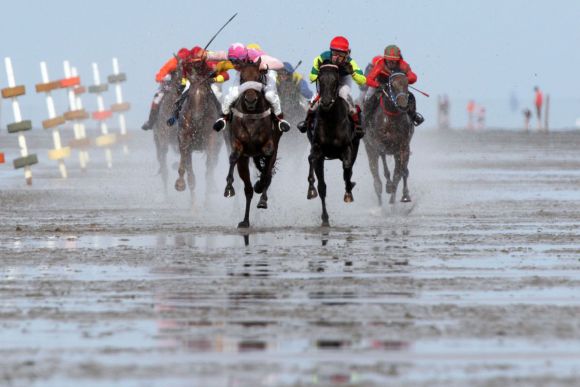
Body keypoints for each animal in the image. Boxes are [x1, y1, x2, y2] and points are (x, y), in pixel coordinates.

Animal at [173, 59, 221, 205]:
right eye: (189, 95)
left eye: (206, 94)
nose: (196, 118)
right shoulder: (184, 137)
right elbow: (189, 173)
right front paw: (180, 184)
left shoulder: (211, 138)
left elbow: (209, 169)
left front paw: (207, 203)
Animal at [223, 57, 282, 227]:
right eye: (242, 78)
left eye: (258, 78)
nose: (250, 100)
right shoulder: (238, 144)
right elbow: (233, 157)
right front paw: (228, 188)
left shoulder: (269, 145)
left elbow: (267, 167)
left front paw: (261, 190)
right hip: (245, 161)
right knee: (248, 190)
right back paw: (245, 220)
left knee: (266, 175)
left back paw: (261, 195)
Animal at [306, 61, 360, 227]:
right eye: (320, 78)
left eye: (336, 80)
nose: (325, 102)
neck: (331, 120)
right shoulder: (318, 149)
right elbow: (321, 185)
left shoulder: (347, 148)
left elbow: (347, 168)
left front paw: (348, 192)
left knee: (348, 169)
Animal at [362, 72, 412, 206]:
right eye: (392, 86)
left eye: (407, 83)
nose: (403, 103)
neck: (391, 118)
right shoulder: (379, 143)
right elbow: (385, 167)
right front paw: (389, 186)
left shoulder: (402, 146)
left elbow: (400, 172)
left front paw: (403, 195)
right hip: (369, 148)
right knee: (375, 173)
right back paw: (380, 199)